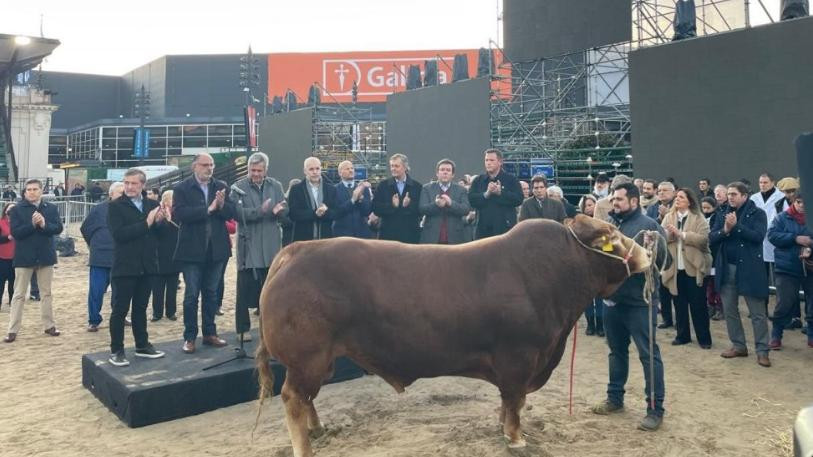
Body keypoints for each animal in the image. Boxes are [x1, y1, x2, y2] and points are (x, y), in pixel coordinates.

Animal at [254, 215, 648, 456]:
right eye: (610, 236)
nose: (646, 251)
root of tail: (297, 250)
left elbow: (509, 401)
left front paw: (502, 428)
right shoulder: (519, 357)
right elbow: (515, 400)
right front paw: (516, 439)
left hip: (320, 361)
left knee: (306, 398)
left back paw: (319, 429)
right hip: (307, 357)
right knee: (293, 398)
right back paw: (304, 447)